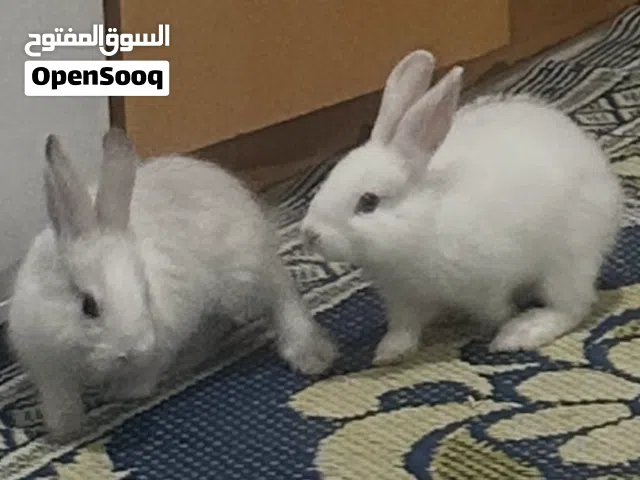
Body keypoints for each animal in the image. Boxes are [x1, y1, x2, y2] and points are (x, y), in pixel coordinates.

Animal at [8, 128, 338, 442]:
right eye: (88, 306)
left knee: (280, 296)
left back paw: (310, 355)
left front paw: (122, 394)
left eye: (145, 293)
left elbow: (142, 376)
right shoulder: (48, 365)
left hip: (244, 281)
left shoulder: (158, 346)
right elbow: (60, 399)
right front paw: (65, 431)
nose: (134, 349)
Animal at [300, 50, 623, 366]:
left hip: (567, 260)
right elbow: (404, 327)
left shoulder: (488, 280)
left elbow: (494, 308)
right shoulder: (403, 298)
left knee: (572, 306)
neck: (421, 224)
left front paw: (503, 321)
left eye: (368, 202)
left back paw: (522, 331)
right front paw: (389, 353)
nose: (309, 235)